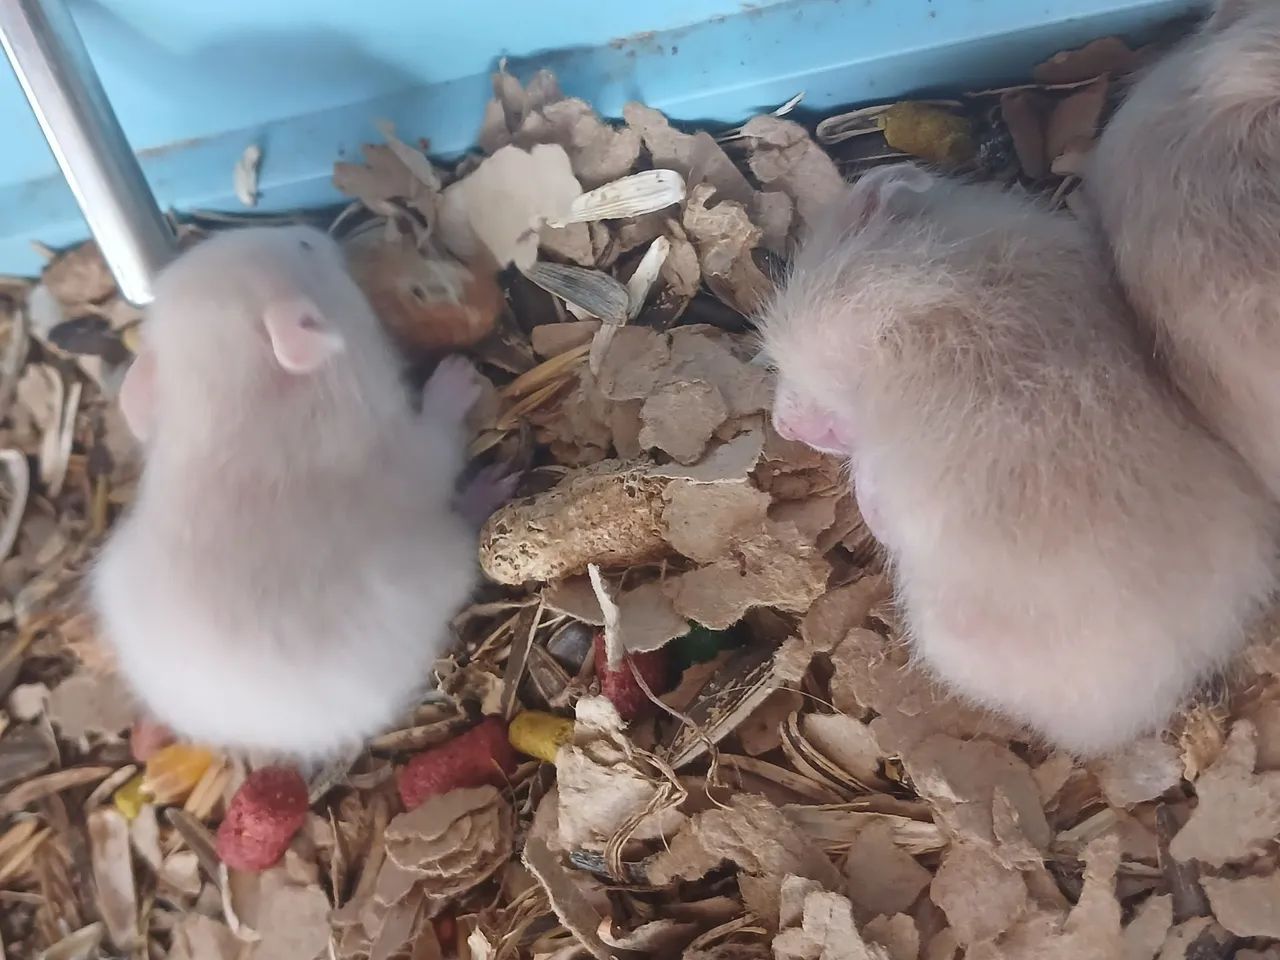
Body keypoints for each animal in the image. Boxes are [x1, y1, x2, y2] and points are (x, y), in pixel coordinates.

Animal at [92, 225, 492, 761]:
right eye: (304, 250)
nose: (314, 232)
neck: (224, 396)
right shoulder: (405, 447)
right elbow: (440, 441)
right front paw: (456, 374)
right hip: (446, 559)